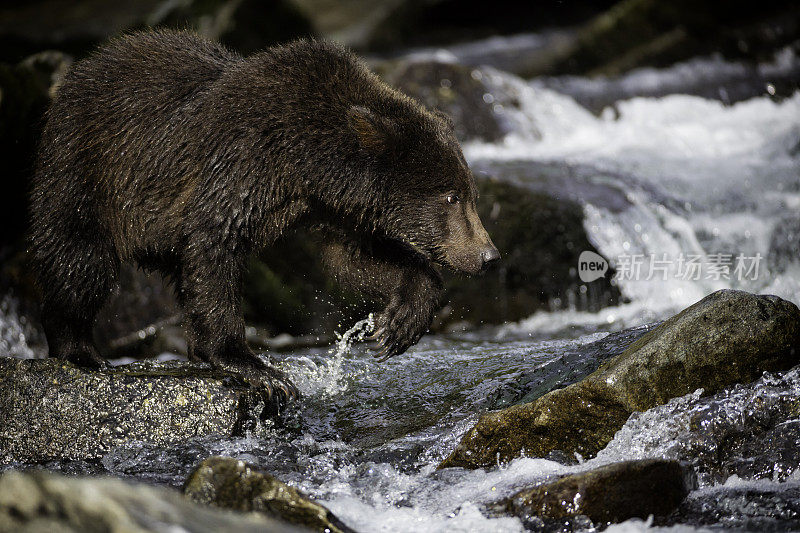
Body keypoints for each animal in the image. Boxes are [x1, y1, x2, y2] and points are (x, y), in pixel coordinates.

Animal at [29, 28, 500, 394]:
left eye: (470, 193)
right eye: (451, 197)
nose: (488, 256)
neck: (309, 162)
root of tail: (81, 70)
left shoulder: (326, 209)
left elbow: (351, 260)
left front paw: (399, 322)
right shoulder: (244, 161)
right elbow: (215, 244)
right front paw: (254, 366)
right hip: (84, 171)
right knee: (80, 260)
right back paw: (81, 351)